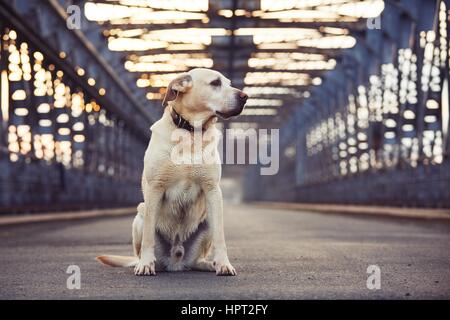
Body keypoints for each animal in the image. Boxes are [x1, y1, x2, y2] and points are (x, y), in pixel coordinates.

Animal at [96, 67, 248, 276]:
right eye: (215, 83)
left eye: (228, 83)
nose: (245, 96)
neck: (191, 133)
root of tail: (175, 262)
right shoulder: (155, 188)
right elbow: (148, 237)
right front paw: (145, 264)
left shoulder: (213, 190)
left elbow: (221, 237)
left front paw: (224, 263)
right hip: (140, 214)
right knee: (144, 249)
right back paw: (144, 263)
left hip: (206, 221)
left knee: (197, 259)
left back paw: (209, 264)